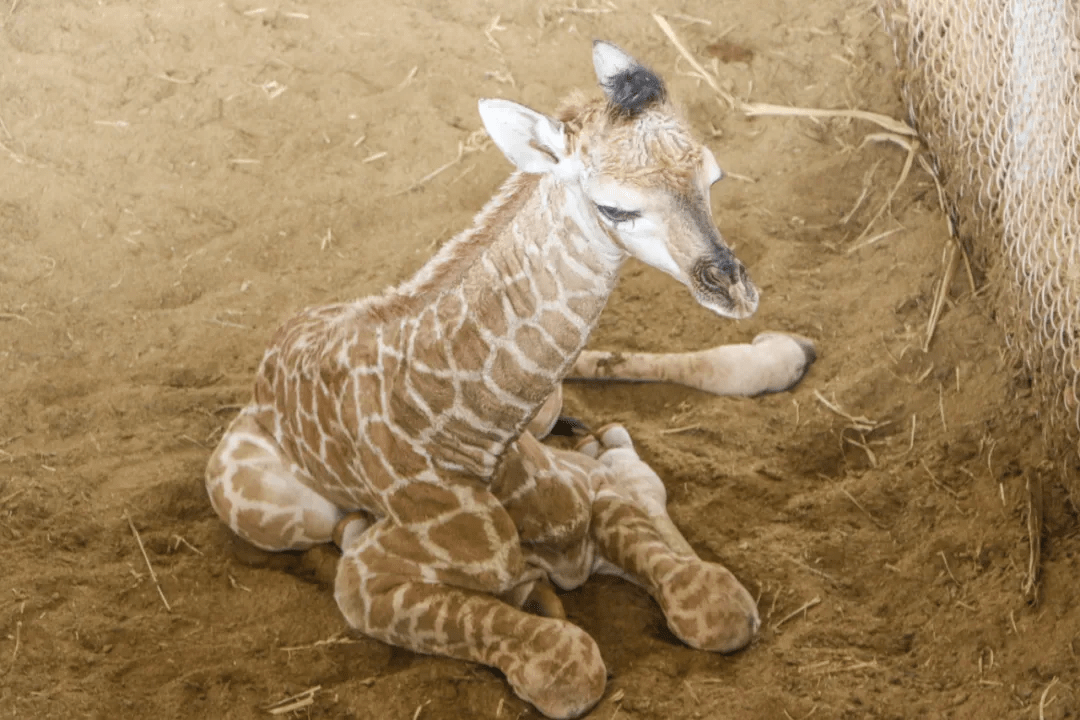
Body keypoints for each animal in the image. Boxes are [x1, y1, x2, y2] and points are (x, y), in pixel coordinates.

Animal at [204, 40, 812, 720]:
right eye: (615, 208)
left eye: (713, 176)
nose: (736, 291)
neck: (476, 433)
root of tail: (268, 362)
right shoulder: (362, 583)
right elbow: (567, 665)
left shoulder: (584, 498)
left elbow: (718, 606)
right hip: (272, 511)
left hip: (547, 408)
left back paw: (774, 358)